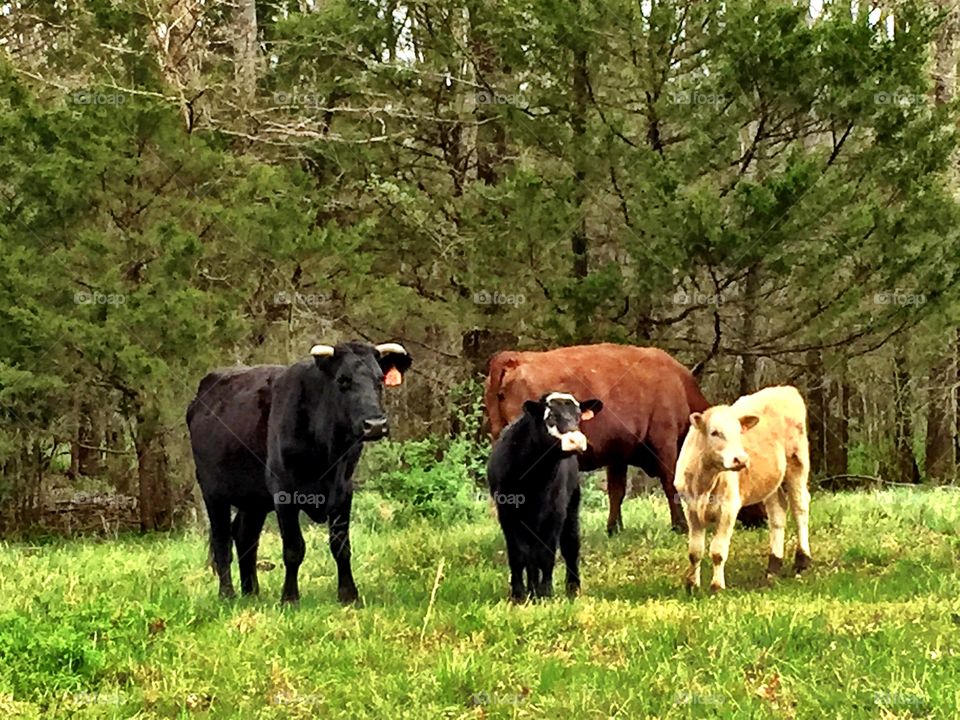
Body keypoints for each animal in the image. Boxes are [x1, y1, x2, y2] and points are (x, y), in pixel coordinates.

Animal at [186, 341, 412, 605]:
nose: (375, 425)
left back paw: (251, 592)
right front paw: (290, 598)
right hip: (213, 492)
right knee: (222, 540)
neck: (328, 454)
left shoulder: (344, 490)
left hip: (254, 499)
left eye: (380, 380)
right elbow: (294, 549)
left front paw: (349, 595)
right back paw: (227, 594)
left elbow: (341, 546)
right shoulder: (284, 493)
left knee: (244, 536)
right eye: (343, 380)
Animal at [484, 343, 766, 534]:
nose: (762, 520)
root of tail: (514, 358)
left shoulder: (617, 454)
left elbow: (616, 491)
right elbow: (670, 483)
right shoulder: (664, 444)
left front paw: (614, 528)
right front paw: (680, 525)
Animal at [487, 391, 603, 602]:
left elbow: (546, 554)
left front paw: (545, 592)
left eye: (578, 416)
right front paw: (519, 594)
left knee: (570, 546)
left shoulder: (555, 512)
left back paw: (571, 588)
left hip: (571, 505)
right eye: (550, 417)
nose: (576, 440)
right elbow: (518, 555)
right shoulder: (507, 512)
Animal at [674, 385, 811, 592]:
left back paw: (802, 561)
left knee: (800, 509)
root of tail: (785, 389)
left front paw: (717, 586)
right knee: (777, 515)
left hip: (797, 465)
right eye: (714, 432)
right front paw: (692, 585)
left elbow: (718, 551)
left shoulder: (729, 508)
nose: (741, 459)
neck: (705, 481)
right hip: (771, 482)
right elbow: (694, 552)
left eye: (739, 432)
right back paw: (773, 568)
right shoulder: (690, 509)